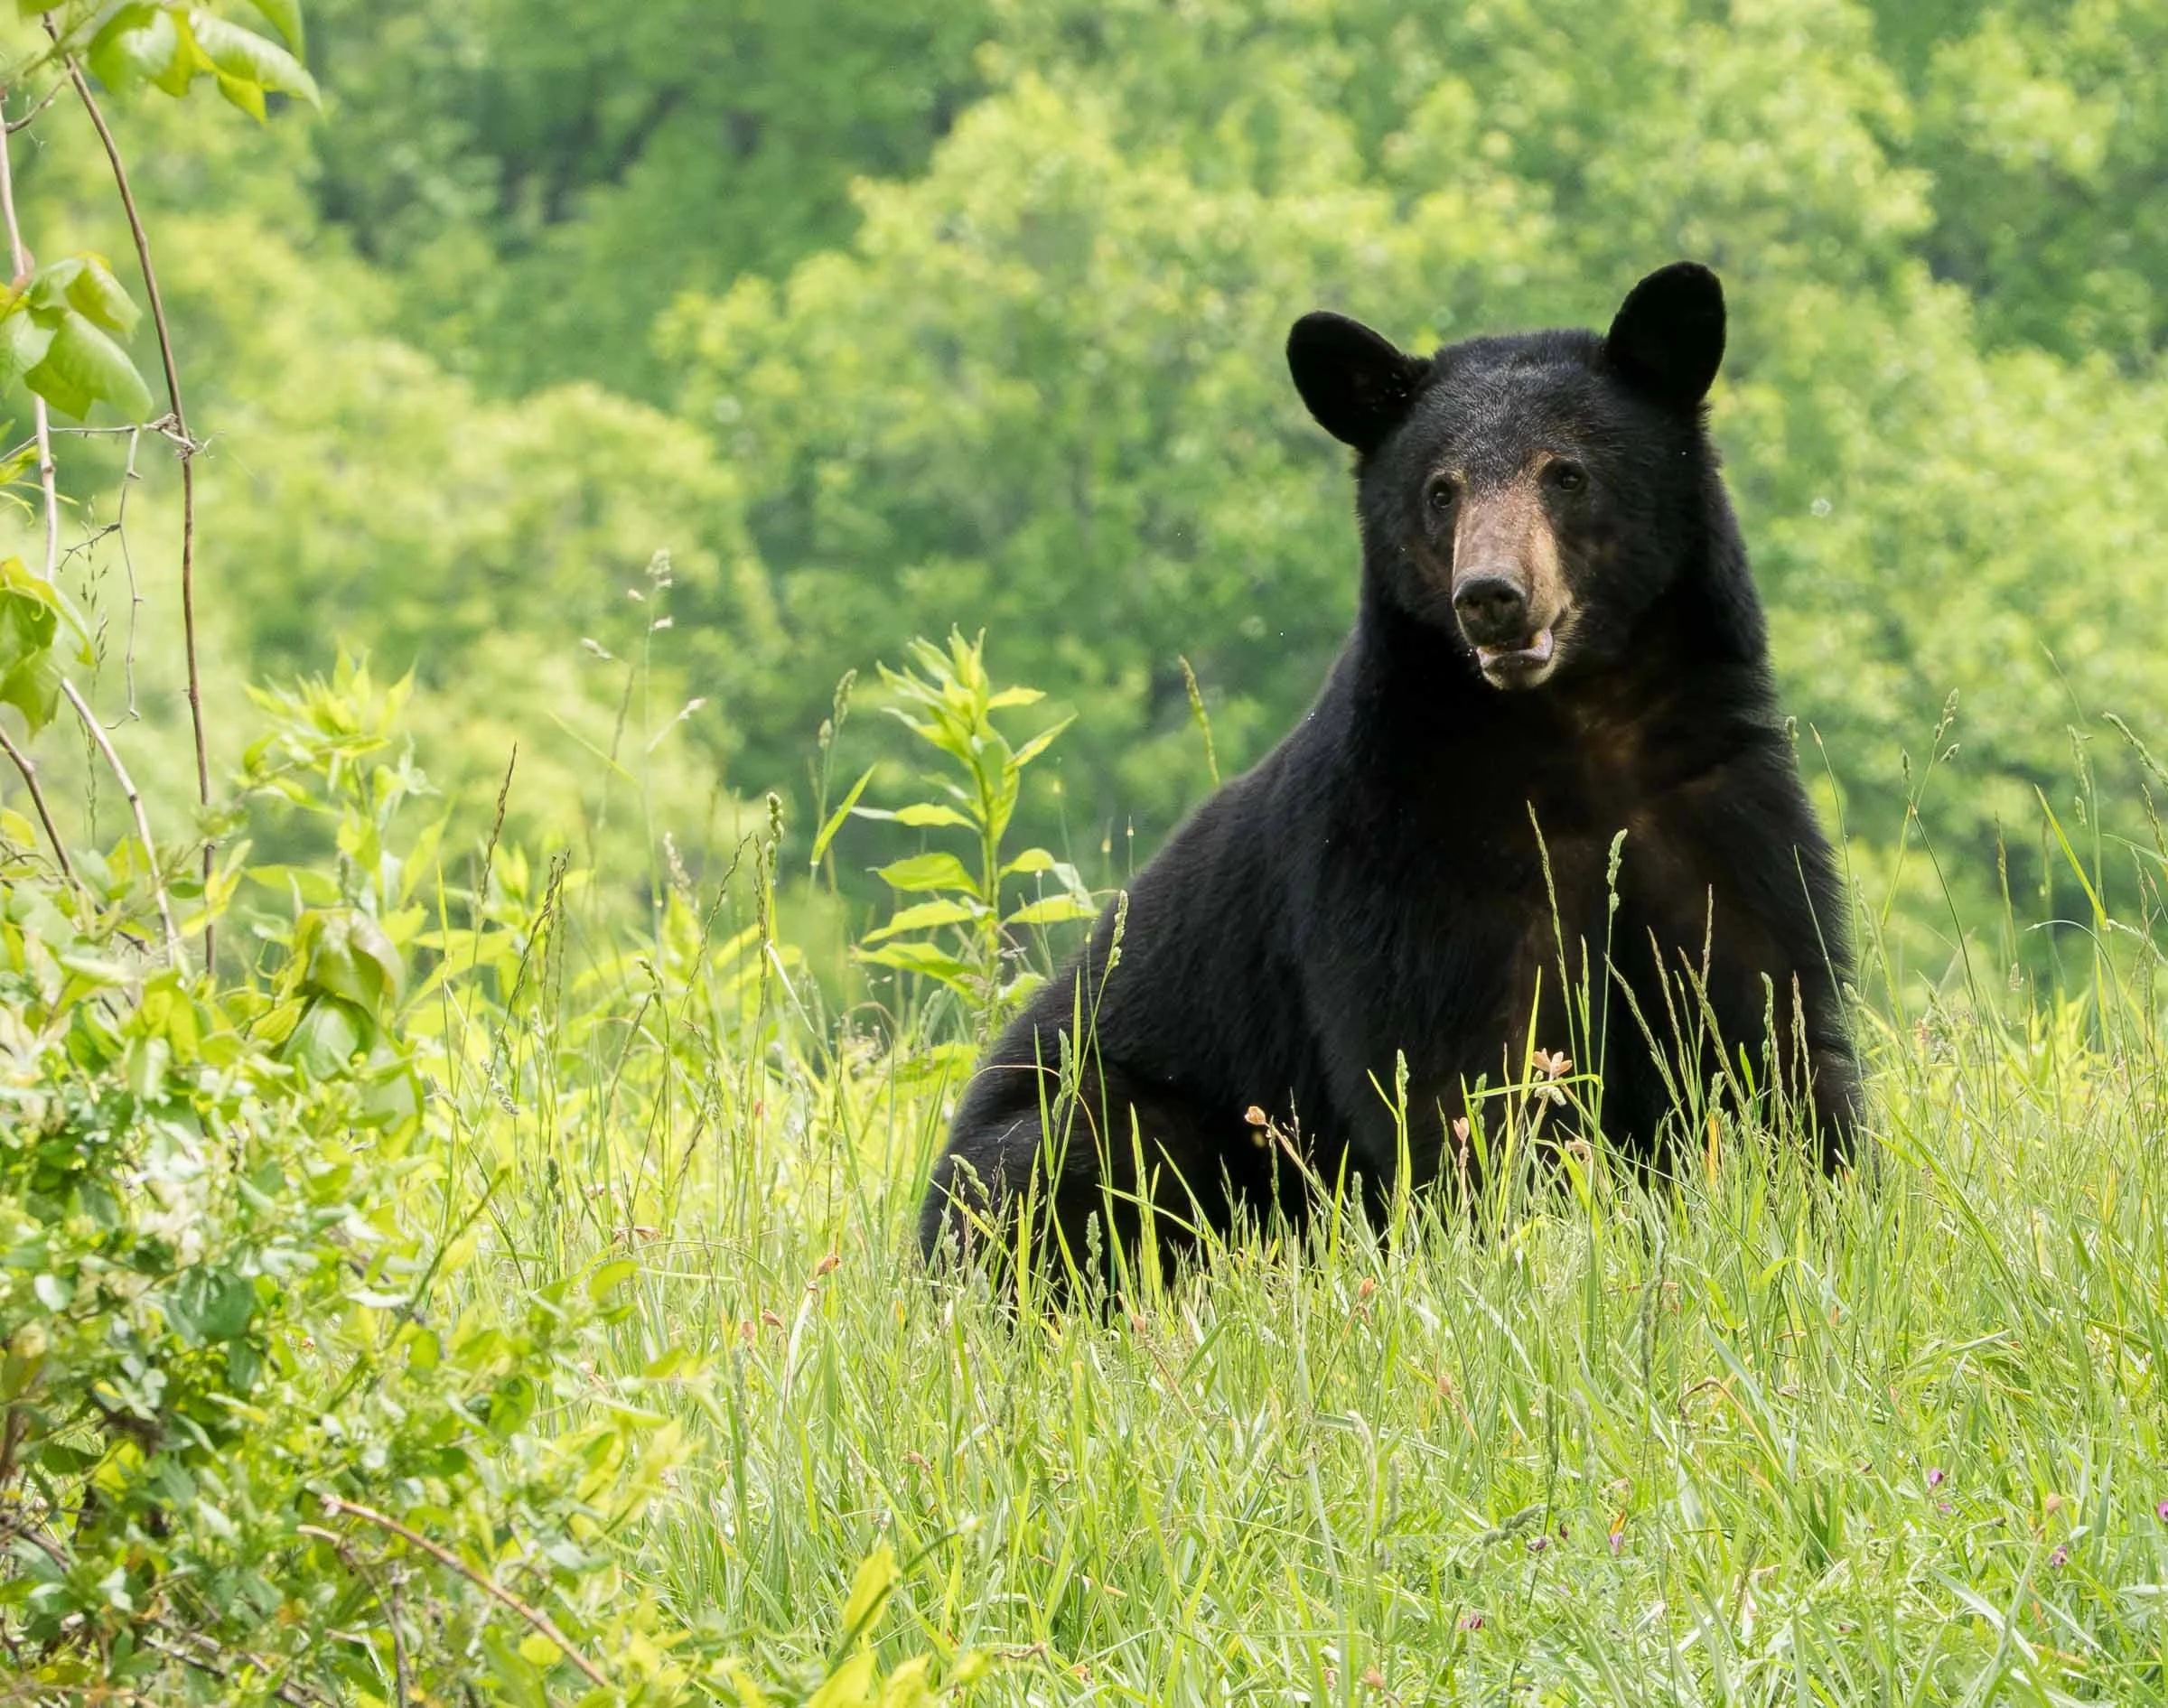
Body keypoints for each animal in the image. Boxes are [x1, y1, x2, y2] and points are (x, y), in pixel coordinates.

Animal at [919, 261, 1860, 1283]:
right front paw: (1529, 1244)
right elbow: (1455, 1079)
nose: (1491, 595)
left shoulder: (1716, 807)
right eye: (1441, 490)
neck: (1575, 732)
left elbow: (1765, 1030)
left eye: (1567, 473)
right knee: (1083, 1152)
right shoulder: (1404, 847)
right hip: (1078, 1129)